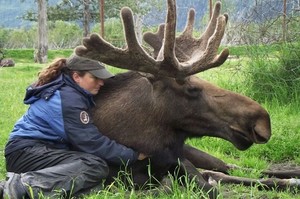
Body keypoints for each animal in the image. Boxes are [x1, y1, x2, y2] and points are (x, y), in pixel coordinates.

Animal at [74, 0, 298, 198]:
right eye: (192, 88)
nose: (262, 120)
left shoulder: (181, 163)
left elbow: (209, 188)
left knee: (235, 168)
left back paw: (292, 178)